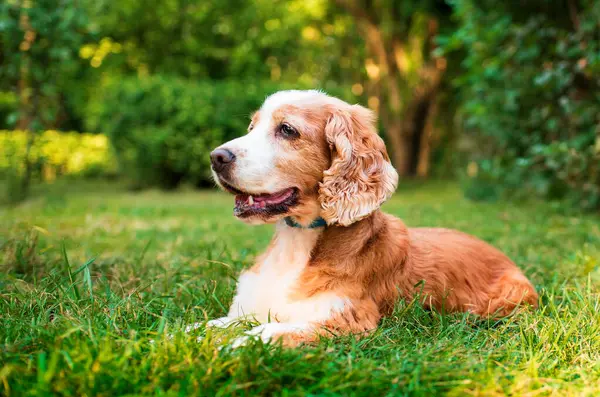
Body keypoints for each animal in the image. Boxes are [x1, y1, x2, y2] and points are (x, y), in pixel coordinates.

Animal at [207, 89, 540, 346]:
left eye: (287, 130)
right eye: (252, 127)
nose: (216, 157)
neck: (298, 241)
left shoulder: (345, 317)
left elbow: (266, 332)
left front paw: (228, 348)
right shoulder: (248, 306)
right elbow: (211, 326)